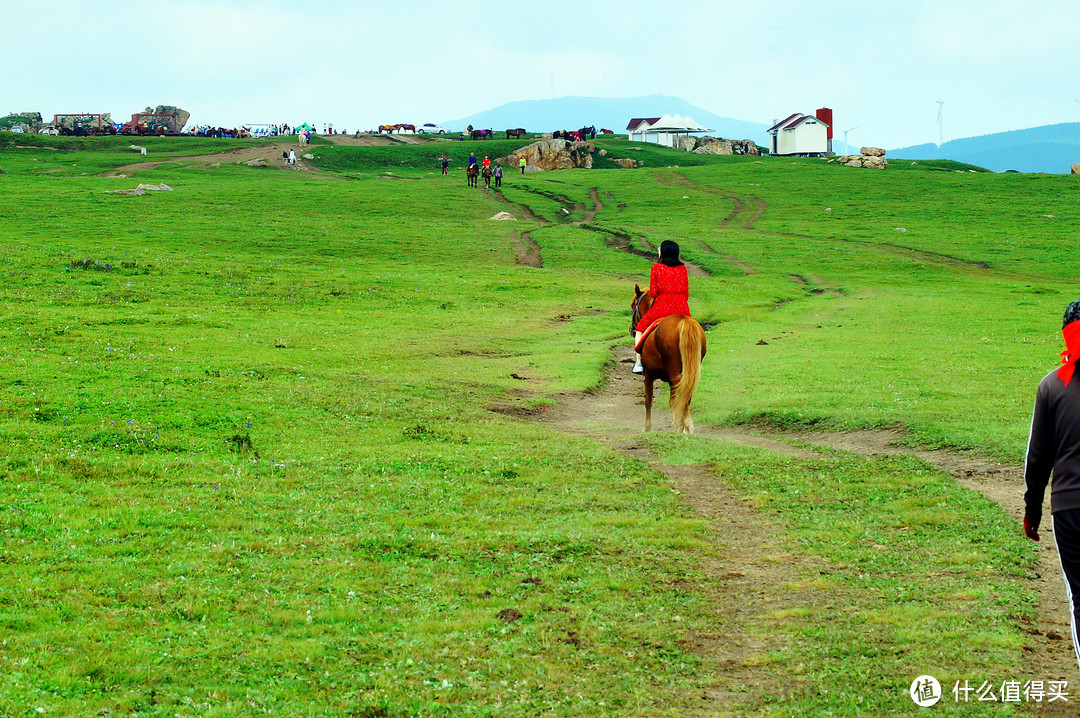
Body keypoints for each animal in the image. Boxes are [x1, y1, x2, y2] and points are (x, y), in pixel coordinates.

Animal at [630, 285, 708, 431]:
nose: (631, 328)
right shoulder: (671, 380)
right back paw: (685, 425)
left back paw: (683, 425)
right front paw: (677, 425)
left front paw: (647, 428)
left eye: (633, 305)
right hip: (689, 369)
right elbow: (672, 401)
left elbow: (648, 400)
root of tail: (683, 320)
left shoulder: (648, 375)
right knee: (686, 392)